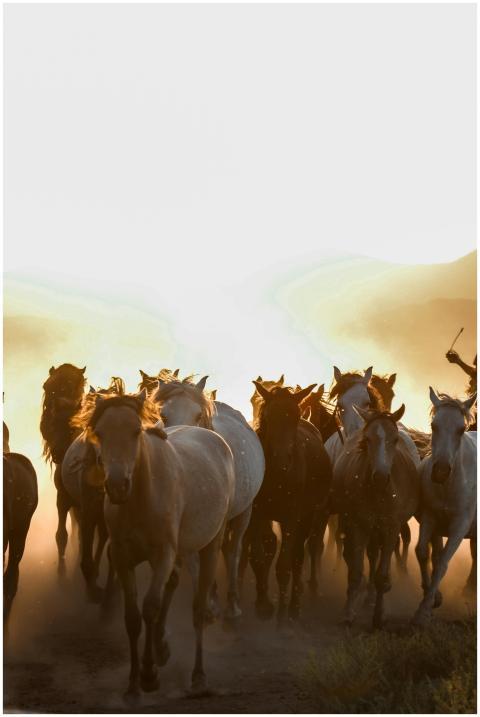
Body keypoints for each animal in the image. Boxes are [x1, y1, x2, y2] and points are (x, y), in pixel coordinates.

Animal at [75, 391, 235, 698]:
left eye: (136, 431)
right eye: (99, 433)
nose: (117, 486)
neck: (142, 495)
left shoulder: (162, 555)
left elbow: (150, 607)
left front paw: (149, 675)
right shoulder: (122, 557)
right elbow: (133, 617)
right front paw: (133, 685)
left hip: (210, 546)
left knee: (198, 608)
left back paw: (198, 676)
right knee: (172, 585)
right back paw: (162, 647)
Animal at [152, 373, 264, 622]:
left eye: (198, 415)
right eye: (163, 415)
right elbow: (194, 562)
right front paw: (207, 601)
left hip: (245, 512)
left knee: (233, 551)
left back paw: (232, 602)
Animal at [250, 382, 332, 626]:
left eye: (295, 417)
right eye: (269, 416)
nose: (282, 459)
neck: (277, 477)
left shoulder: (291, 518)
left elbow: (284, 566)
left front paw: (281, 616)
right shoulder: (257, 514)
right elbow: (258, 557)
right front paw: (263, 604)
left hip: (307, 517)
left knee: (297, 557)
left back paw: (294, 606)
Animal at [332, 404, 419, 628]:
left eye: (394, 439)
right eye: (368, 438)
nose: (380, 477)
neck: (379, 492)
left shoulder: (390, 529)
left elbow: (381, 574)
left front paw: (379, 615)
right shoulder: (358, 525)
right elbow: (356, 571)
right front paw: (348, 613)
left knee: (375, 556)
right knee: (370, 555)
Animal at [413, 389, 477, 627]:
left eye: (461, 429)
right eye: (434, 425)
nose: (440, 471)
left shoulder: (459, 527)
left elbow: (442, 563)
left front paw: (422, 612)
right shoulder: (431, 518)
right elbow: (423, 552)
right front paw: (432, 598)